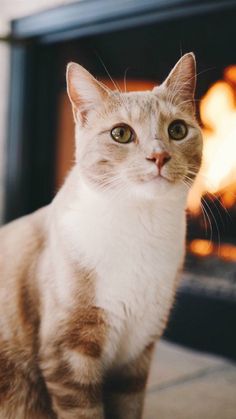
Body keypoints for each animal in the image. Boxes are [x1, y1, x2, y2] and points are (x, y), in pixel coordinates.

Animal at [0, 53, 203, 419]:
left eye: (177, 130)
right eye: (121, 133)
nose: (159, 156)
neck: (140, 227)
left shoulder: (137, 353)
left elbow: (129, 407)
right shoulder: (67, 353)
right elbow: (85, 411)